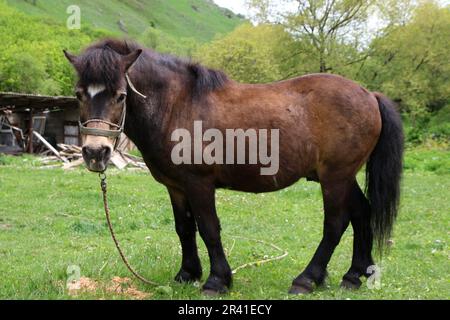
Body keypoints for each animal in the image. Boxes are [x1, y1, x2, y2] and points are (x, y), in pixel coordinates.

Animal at [64, 39, 404, 296]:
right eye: (79, 94)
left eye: (121, 96)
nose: (95, 152)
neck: (178, 106)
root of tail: (369, 95)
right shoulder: (176, 187)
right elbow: (184, 228)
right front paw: (187, 274)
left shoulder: (199, 184)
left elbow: (209, 228)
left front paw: (217, 281)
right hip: (341, 177)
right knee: (362, 214)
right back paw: (355, 275)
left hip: (335, 177)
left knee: (335, 224)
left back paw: (307, 279)